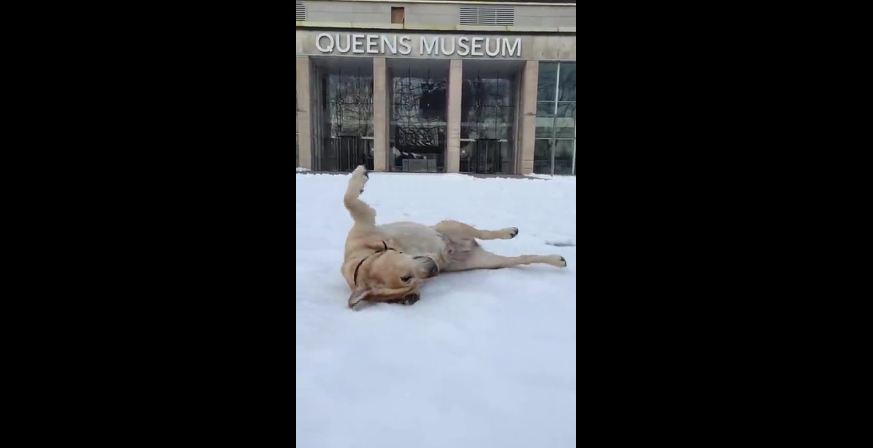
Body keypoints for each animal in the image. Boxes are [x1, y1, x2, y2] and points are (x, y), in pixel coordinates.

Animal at [340, 166, 564, 310]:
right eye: (408, 281)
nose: (435, 269)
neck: (365, 254)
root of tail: (461, 248)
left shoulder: (365, 222)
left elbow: (348, 199)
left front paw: (359, 174)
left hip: (450, 225)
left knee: (484, 232)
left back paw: (508, 231)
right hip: (486, 262)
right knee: (522, 258)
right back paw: (556, 260)